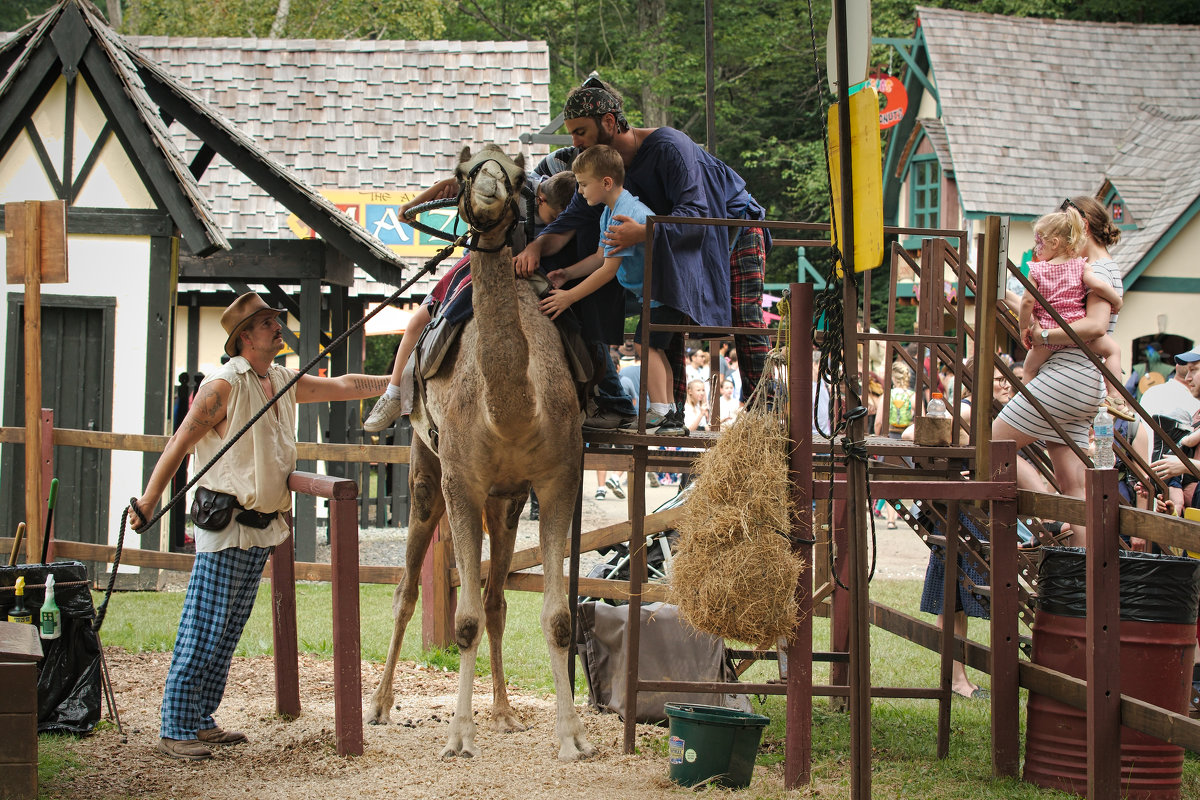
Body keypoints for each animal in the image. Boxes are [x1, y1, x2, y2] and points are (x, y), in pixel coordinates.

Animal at [362, 145, 592, 762]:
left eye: (514, 173)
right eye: (464, 171)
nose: (489, 190)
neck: (510, 410)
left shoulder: (558, 479)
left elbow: (558, 618)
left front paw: (570, 738)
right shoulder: (460, 481)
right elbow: (459, 621)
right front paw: (458, 738)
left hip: (505, 503)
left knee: (494, 601)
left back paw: (506, 712)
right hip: (426, 475)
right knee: (406, 590)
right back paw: (379, 705)